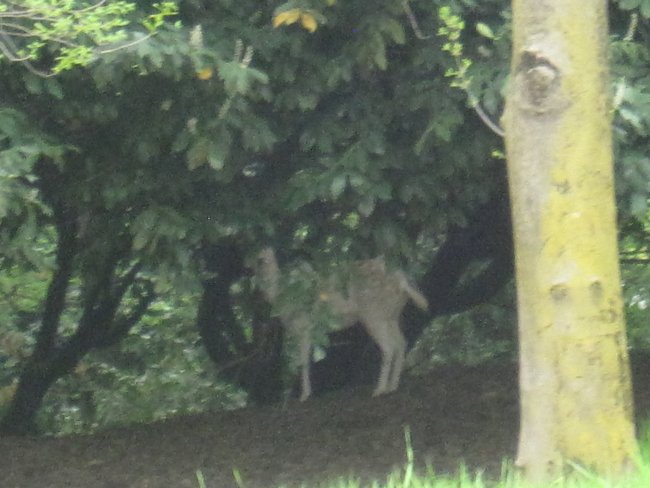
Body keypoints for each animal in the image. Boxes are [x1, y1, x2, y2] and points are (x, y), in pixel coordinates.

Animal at [251, 248, 428, 400]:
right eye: (255, 260)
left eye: (263, 260)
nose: (260, 277)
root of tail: (402, 280)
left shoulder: (305, 325)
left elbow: (304, 362)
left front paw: (304, 395)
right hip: (390, 315)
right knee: (401, 343)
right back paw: (392, 386)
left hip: (373, 314)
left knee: (388, 347)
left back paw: (379, 389)